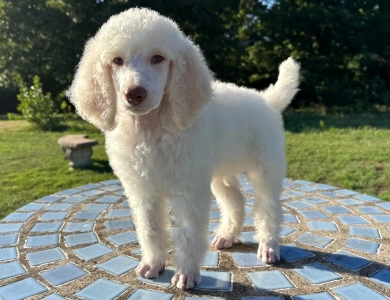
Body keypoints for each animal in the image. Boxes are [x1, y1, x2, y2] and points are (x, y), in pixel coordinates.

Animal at [67, 6, 300, 288]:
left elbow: (189, 233)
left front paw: (186, 273)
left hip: (266, 167)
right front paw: (153, 263)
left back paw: (268, 246)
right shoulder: (143, 191)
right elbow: (150, 229)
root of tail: (266, 100)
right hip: (218, 172)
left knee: (269, 206)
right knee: (235, 200)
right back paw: (227, 235)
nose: (135, 94)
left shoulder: (190, 191)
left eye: (158, 58)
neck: (151, 130)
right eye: (117, 61)